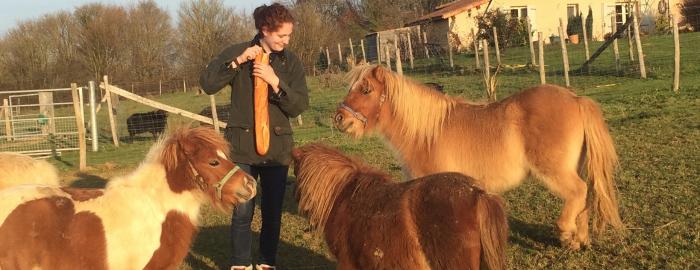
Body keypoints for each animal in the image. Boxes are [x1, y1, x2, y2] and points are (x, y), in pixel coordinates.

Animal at [336, 64, 628, 250]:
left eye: (365, 90)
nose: (339, 118)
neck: (425, 132)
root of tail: (576, 99)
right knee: (585, 199)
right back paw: (579, 241)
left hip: (554, 171)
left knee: (578, 192)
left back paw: (566, 233)